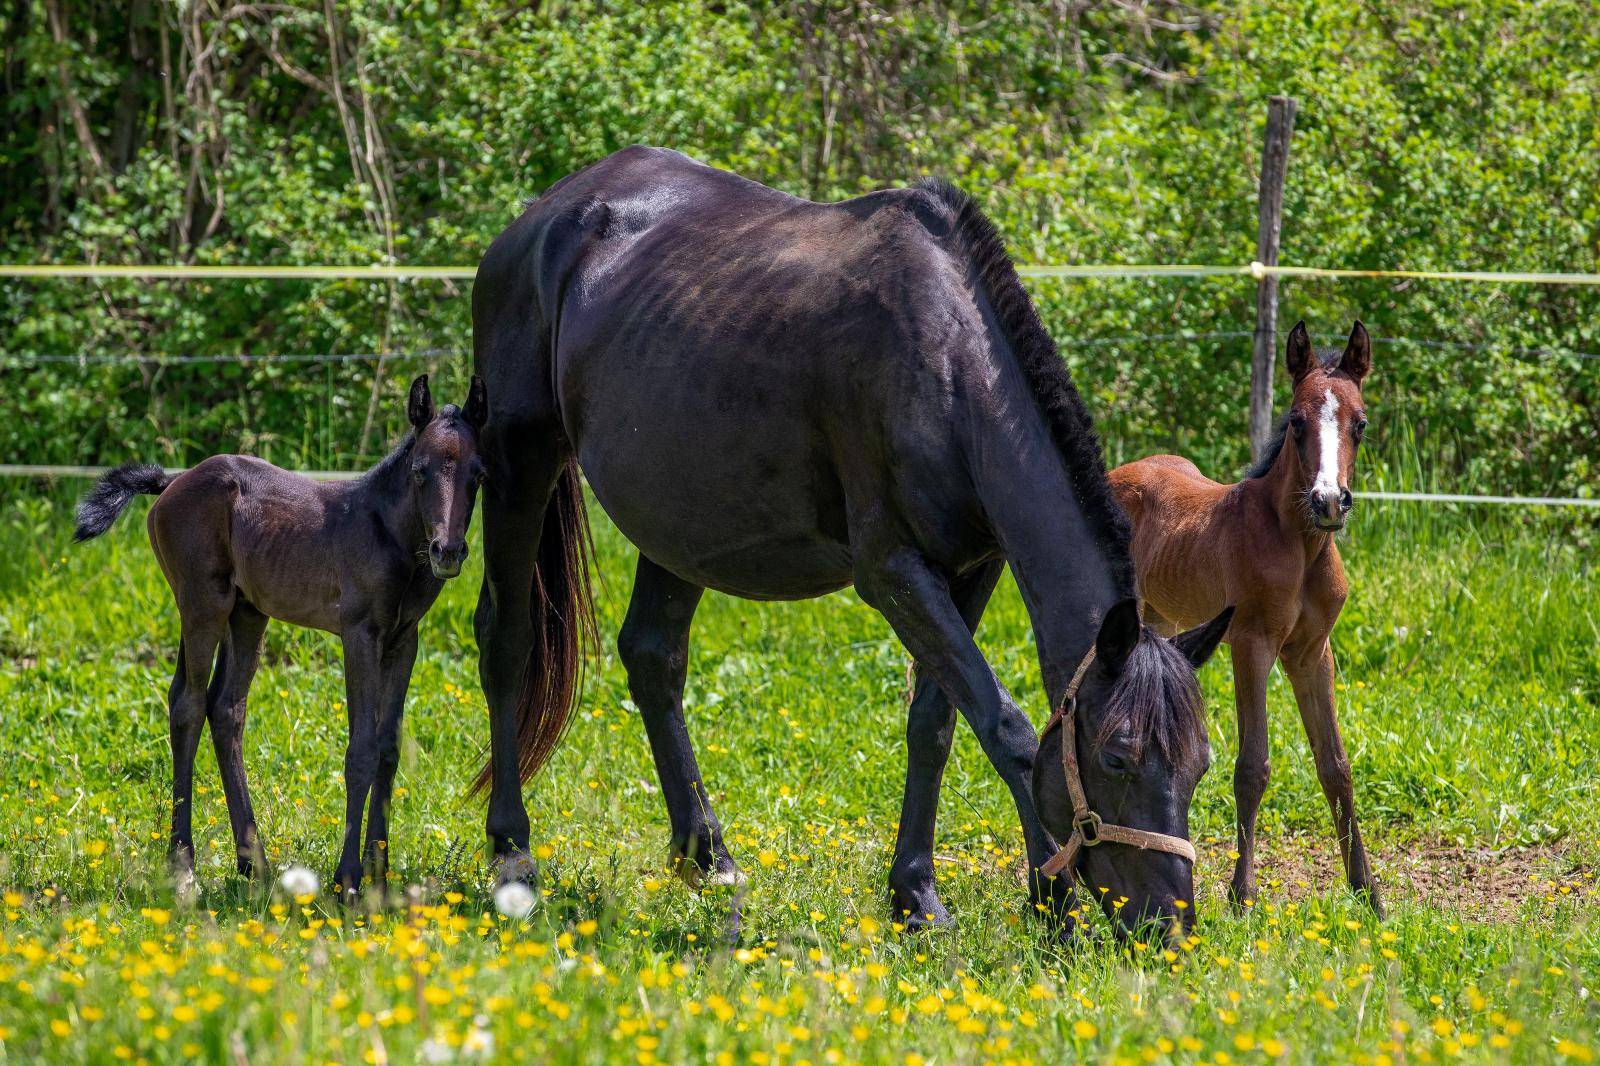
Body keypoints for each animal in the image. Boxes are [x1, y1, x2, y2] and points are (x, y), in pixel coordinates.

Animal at [76, 372, 486, 896]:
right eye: (420, 471)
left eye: (478, 474)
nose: (447, 551)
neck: (387, 531)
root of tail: (172, 481)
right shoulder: (359, 634)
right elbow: (362, 749)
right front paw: (348, 881)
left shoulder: (403, 639)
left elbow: (389, 748)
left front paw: (379, 875)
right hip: (202, 604)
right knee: (187, 703)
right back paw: (184, 868)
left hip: (247, 613)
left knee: (226, 708)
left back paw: (254, 863)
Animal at [467, 145, 1228, 934]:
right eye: (1117, 759)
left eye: (1200, 766)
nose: (1170, 925)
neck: (948, 366)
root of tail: (544, 216)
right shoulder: (892, 573)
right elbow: (1007, 729)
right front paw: (1053, 904)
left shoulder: (972, 568)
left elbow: (936, 723)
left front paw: (917, 896)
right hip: (521, 458)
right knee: (506, 642)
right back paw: (514, 857)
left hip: (676, 514)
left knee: (653, 658)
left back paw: (709, 860)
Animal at [1107, 321, 1382, 915]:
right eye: (1296, 422)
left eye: (1361, 424)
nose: (1329, 501)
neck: (1299, 545)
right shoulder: (1251, 644)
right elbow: (1252, 766)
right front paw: (1242, 895)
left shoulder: (1312, 652)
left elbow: (1336, 766)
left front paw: (1368, 892)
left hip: (1163, 625)